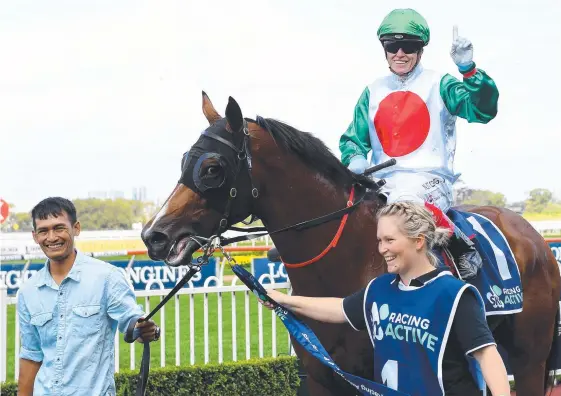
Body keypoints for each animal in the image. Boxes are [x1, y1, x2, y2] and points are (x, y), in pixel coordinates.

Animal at [140, 93, 560, 396]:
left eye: (212, 168)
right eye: (185, 160)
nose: (154, 236)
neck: (346, 259)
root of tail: (534, 236)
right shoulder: (321, 378)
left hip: (529, 359)